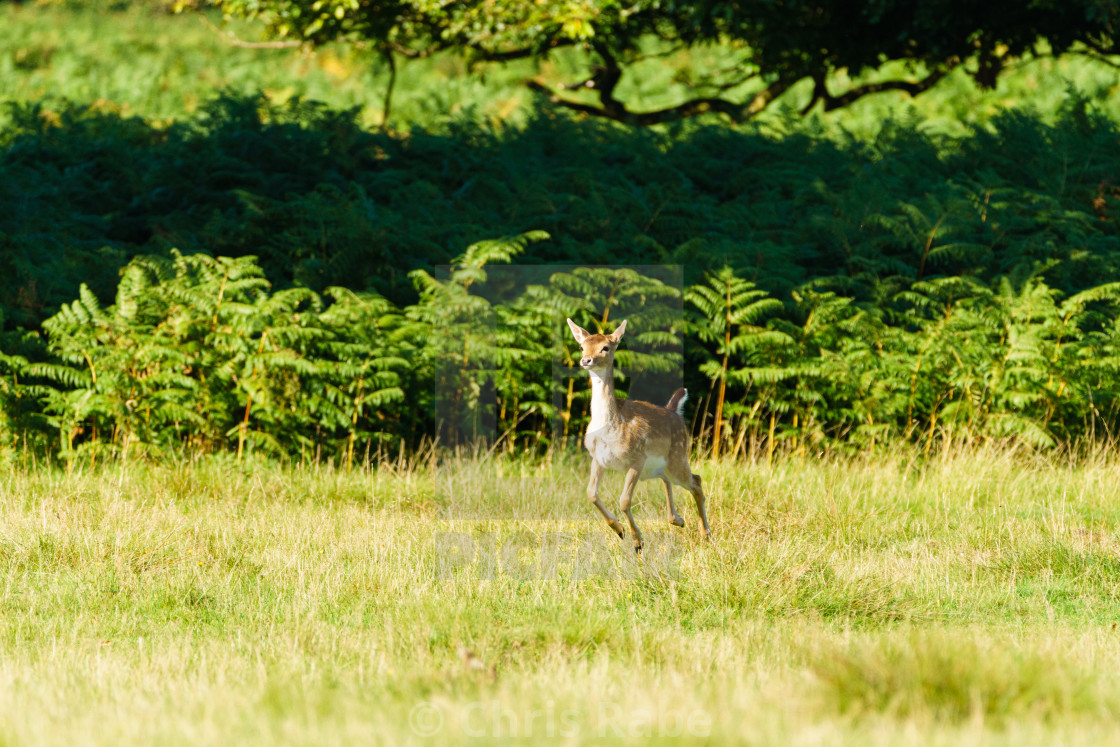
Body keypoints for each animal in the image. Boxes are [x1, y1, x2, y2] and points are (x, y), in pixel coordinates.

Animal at [564, 318, 712, 553]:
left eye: (605, 347)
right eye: (582, 346)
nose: (586, 360)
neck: (609, 427)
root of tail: (674, 411)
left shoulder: (636, 458)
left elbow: (624, 500)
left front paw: (637, 540)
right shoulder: (598, 458)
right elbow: (591, 494)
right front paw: (619, 529)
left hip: (677, 457)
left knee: (696, 481)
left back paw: (706, 533)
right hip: (655, 467)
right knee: (668, 479)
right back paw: (677, 520)